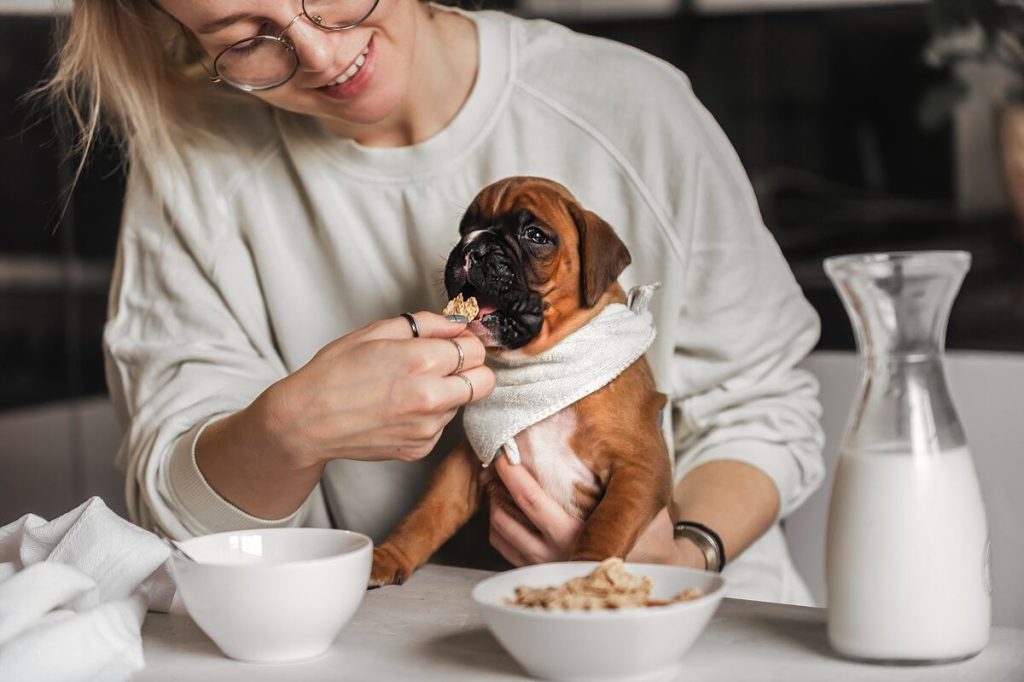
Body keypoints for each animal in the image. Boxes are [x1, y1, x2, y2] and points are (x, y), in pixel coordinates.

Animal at [370, 175, 671, 585]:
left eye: (535, 235)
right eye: (465, 228)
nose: (474, 247)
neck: (540, 363)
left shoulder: (640, 465)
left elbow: (607, 524)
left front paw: (588, 574)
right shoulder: (466, 464)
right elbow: (427, 514)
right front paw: (390, 555)